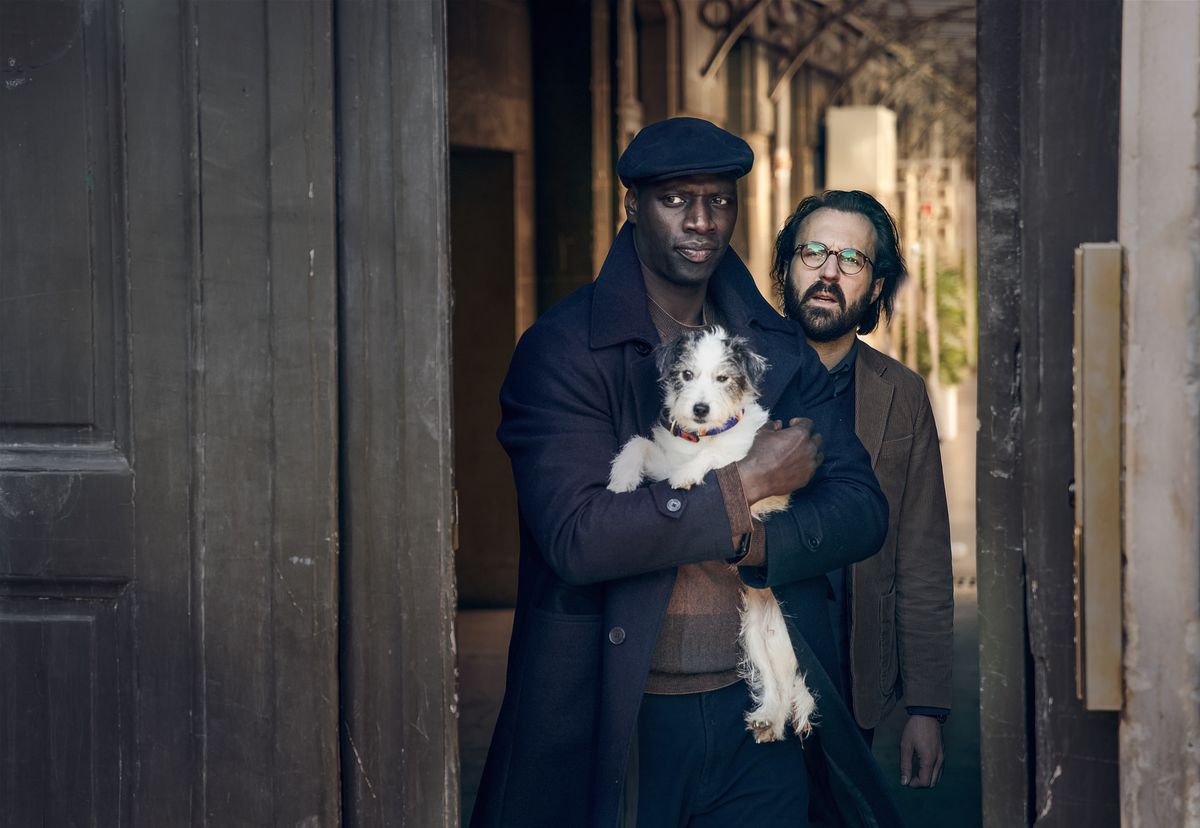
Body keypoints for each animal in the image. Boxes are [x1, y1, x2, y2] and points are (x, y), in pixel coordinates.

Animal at [609, 326, 816, 739]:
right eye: (687, 375)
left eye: (723, 379)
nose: (700, 409)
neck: (704, 435)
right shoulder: (664, 457)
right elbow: (639, 444)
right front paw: (621, 478)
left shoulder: (743, 456)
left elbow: (719, 460)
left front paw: (689, 474)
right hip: (755, 633)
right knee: (774, 679)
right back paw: (769, 717)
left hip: (784, 636)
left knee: (792, 678)